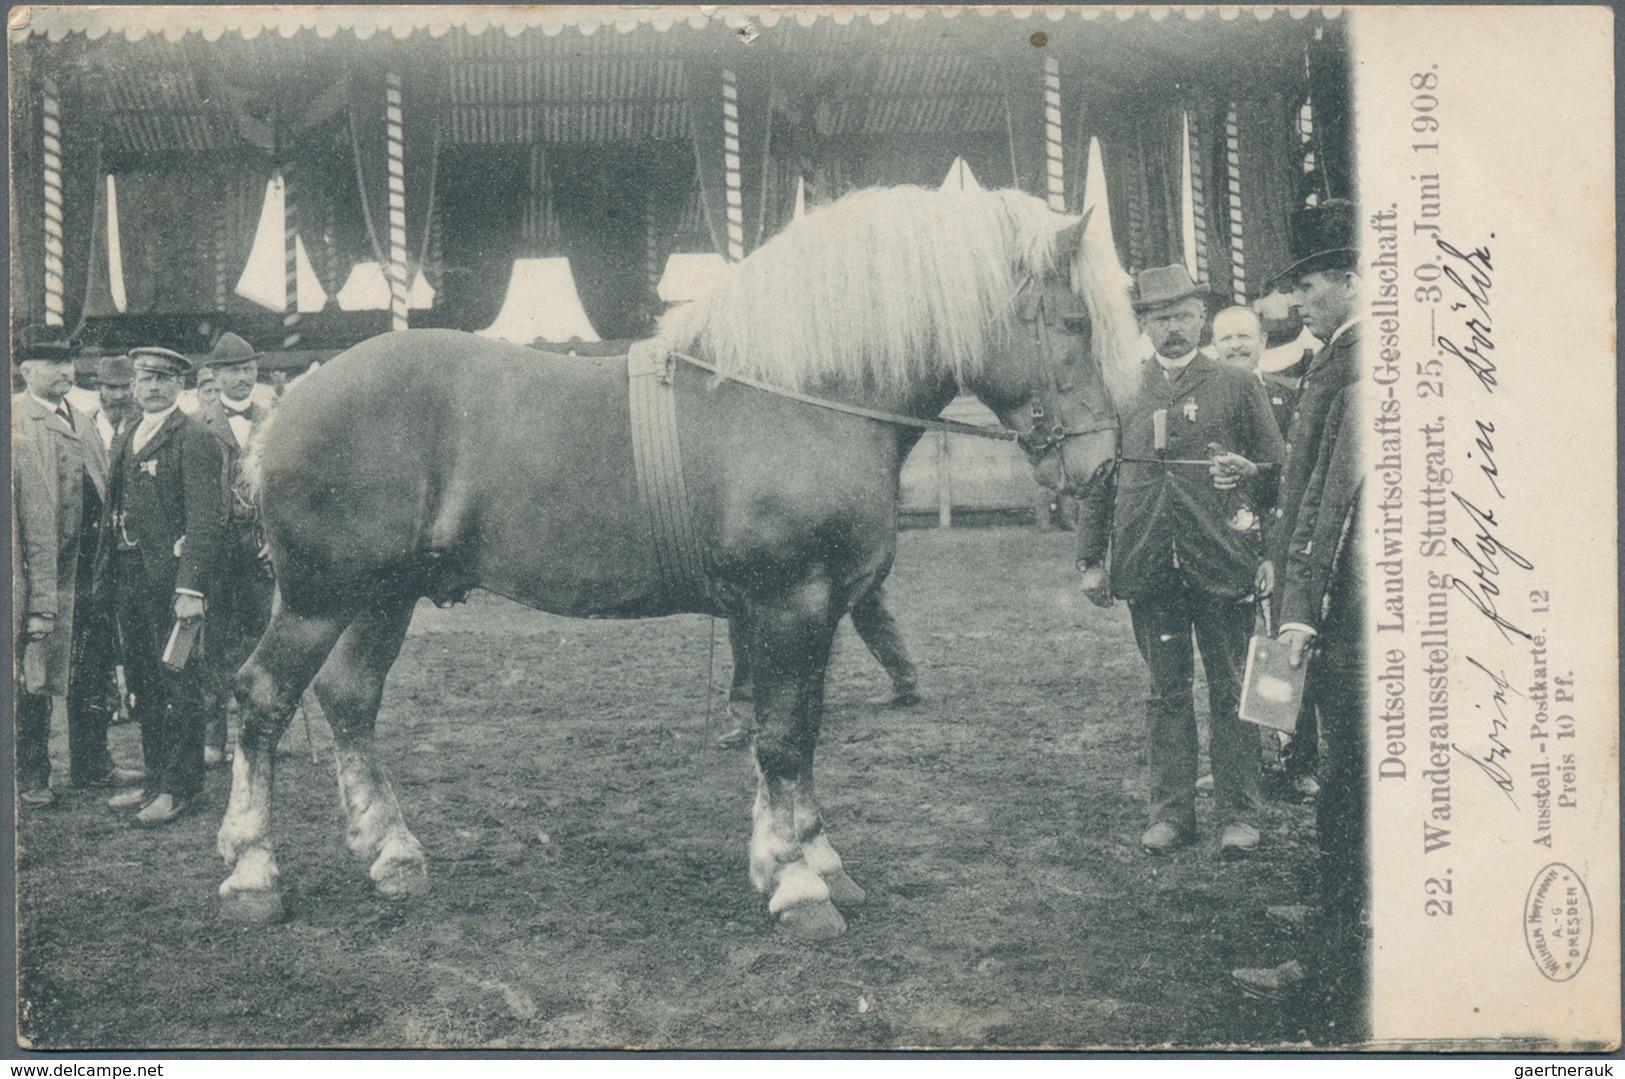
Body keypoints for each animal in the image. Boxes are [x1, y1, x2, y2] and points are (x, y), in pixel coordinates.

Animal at [219, 185, 1144, 936]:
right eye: (1073, 324)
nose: (1100, 466)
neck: (798, 396)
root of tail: (282, 406)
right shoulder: (788, 602)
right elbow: (781, 740)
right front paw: (800, 888)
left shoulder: (816, 611)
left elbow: (800, 732)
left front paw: (807, 859)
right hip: (319, 596)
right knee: (263, 699)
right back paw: (254, 873)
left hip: (386, 595)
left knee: (349, 700)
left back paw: (392, 855)